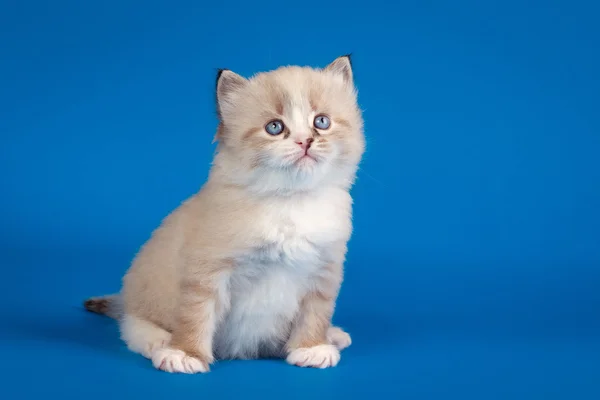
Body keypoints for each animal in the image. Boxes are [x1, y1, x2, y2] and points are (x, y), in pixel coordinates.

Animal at [84, 54, 366, 374]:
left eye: (321, 122)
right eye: (274, 127)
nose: (305, 141)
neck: (290, 200)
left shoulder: (324, 271)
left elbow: (316, 314)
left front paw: (312, 348)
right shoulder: (207, 272)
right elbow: (195, 315)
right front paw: (186, 354)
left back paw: (334, 335)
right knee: (132, 324)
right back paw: (158, 341)